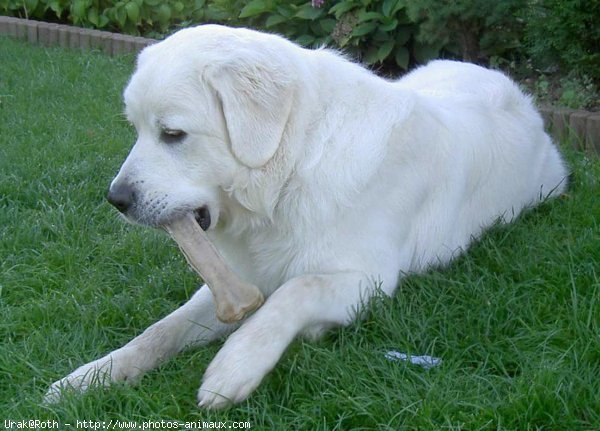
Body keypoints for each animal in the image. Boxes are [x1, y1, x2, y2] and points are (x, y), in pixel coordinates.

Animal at [45, 23, 568, 408]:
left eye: (172, 134)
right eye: (135, 129)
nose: (116, 199)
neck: (291, 172)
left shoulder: (367, 280)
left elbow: (295, 291)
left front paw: (235, 366)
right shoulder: (236, 281)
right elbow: (161, 330)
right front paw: (92, 377)